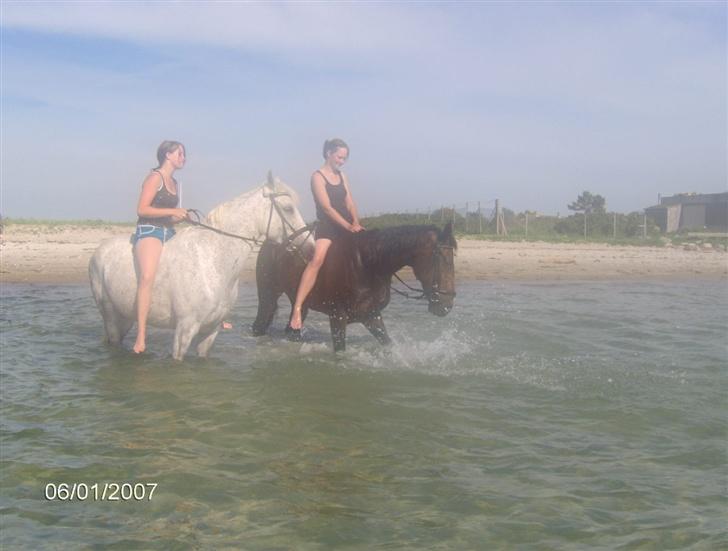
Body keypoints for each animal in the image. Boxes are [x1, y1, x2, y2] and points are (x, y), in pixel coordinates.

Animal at [89, 174, 310, 362]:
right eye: (288, 208)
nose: (310, 246)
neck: (212, 260)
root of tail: (99, 250)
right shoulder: (185, 329)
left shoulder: (211, 330)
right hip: (110, 315)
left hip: (125, 317)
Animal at [250, 222, 456, 352]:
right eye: (440, 259)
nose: (446, 305)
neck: (367, 264)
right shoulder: (337, 317)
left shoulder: (371, 315)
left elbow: (387, 343)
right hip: (268, 297)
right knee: (259, 325)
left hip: (299, 305)